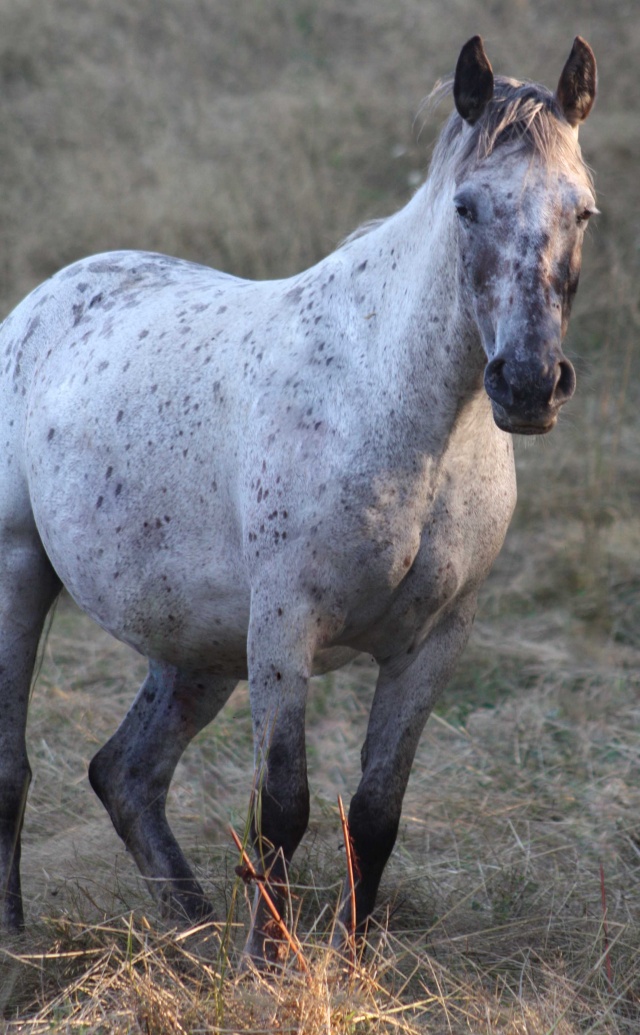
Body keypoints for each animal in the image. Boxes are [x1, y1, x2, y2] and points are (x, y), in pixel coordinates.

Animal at [2, 38, 596, 960]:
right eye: (466, 207)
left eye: (583, 212)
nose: (530, 384)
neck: (398, 410)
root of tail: (43, 299)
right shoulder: (287, 624)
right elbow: (283, 808)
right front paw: (266, 967)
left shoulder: (433, 643)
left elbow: (376, 814)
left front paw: (351, 964)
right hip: (22, 573)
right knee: (15, 767)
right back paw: (20, 939)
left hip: (198, 647)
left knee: (127, 772)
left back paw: (191, 935)